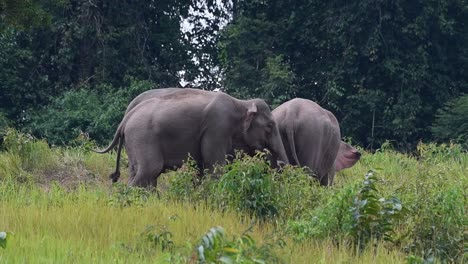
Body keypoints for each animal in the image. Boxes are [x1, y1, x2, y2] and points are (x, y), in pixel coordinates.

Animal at [96, 88, 288, 188]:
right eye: (270, 126)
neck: (241, 103)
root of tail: (125, 119)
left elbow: (201, 169)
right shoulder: (217, 128)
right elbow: (215, 167)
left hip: (134, 142)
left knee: (139, 172)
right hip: (143, 137)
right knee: (150, 170)